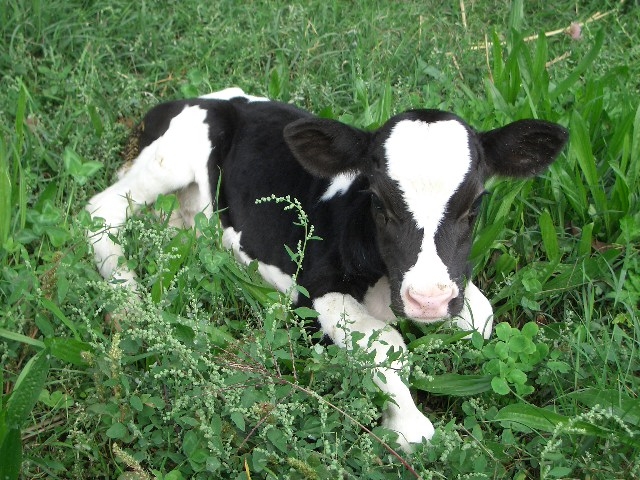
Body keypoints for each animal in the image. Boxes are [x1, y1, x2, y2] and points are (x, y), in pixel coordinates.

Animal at [86, 88, 568, 452]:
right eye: (379, 202)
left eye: (474, 207)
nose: (427, 300)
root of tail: (185, 100)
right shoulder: (318, 286)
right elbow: (385, 347)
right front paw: (408, 426)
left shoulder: (457, 288)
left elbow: (481, 319)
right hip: (171, 157)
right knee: (101, 210)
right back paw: (128, 296)